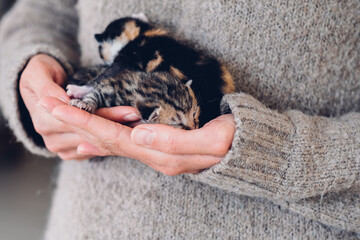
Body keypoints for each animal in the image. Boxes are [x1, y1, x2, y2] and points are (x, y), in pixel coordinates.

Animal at [67, 65, 200, 129]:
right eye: (179, 124)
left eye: (194, 114)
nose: (194, 128)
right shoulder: (110, 87)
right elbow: (95, 93)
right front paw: (86, 104)